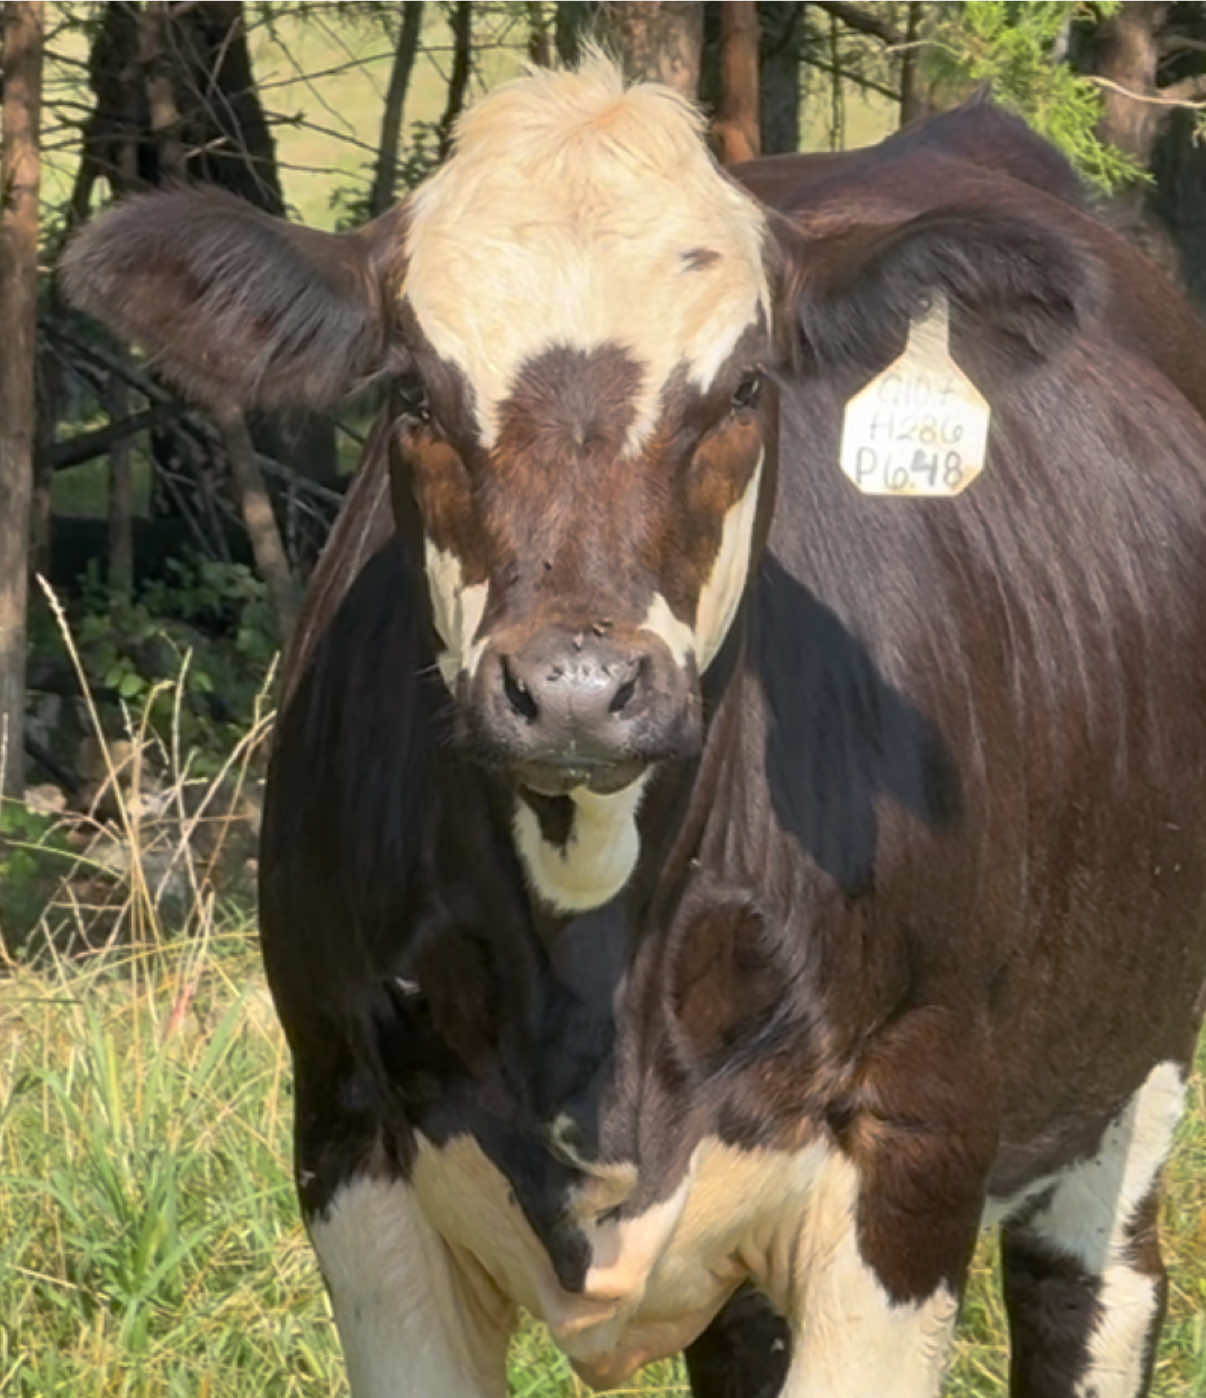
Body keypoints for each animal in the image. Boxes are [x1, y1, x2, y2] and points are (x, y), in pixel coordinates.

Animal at [64, 55, 1206, 1398]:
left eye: (748, 386)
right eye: (410, 392)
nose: (574, 686)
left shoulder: (912, 1150)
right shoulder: (346, 1132)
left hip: (1134, 1058)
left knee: (1088, 1290)